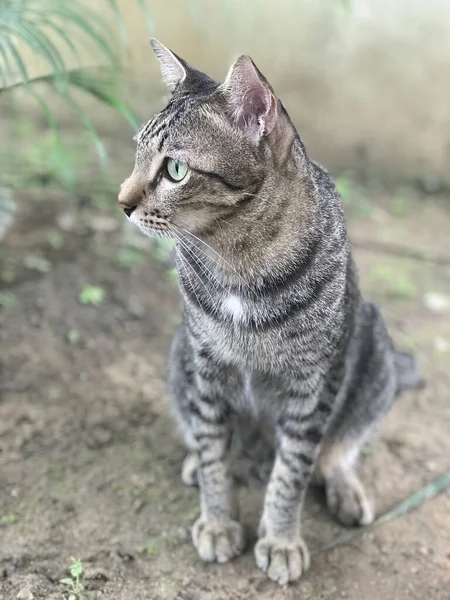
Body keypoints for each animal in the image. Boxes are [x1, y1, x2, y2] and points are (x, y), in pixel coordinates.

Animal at [118, 39, 420, 584]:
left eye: (175, 169)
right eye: (137, 152)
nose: (121, 203)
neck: (237, 259)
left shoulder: (314, 384)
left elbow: (293, 472)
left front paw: (280, 539)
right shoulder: (206, 364)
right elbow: (215, 452)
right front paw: (218, 521)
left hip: (376, 351)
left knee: (337, 451)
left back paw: (343, 487)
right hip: (179, 356)